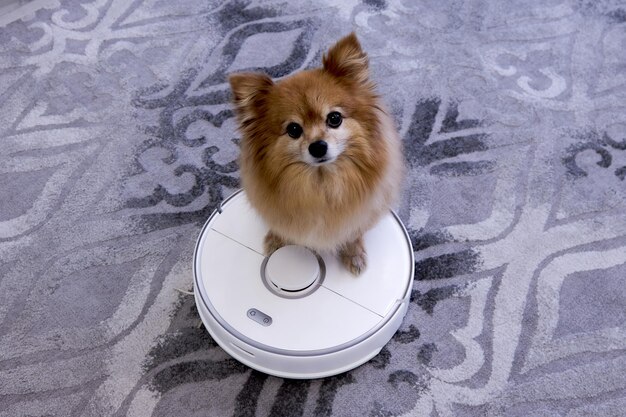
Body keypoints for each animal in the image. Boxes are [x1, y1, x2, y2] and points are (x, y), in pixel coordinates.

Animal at [227, 31, 402, 272]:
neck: (321, 185)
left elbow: (353, 232)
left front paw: (354, 253)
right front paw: (276, 239)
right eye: (293, 129)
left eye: (334, 118)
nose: (318, 146)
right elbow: (280, 225)